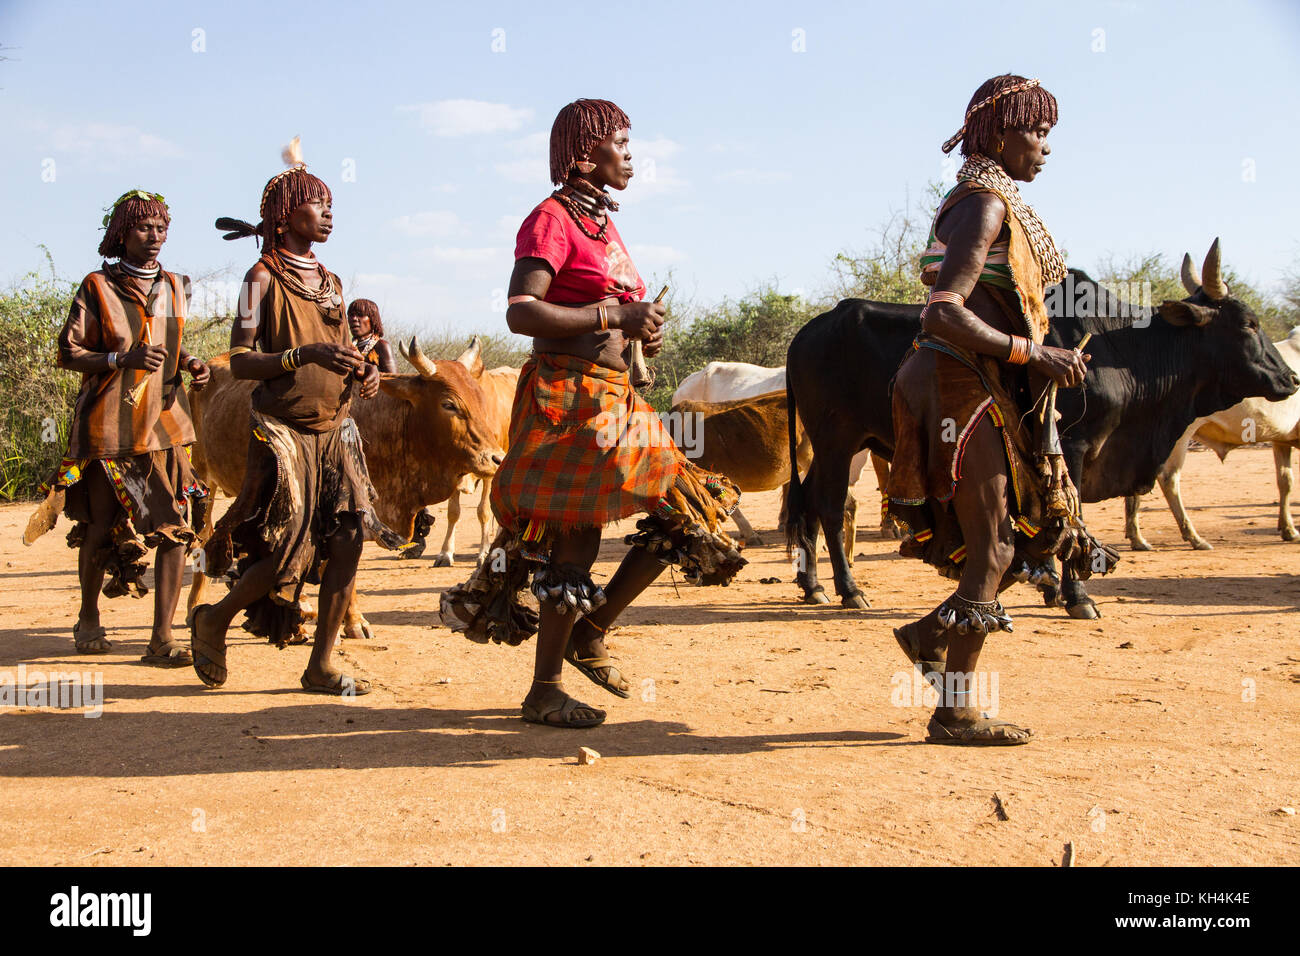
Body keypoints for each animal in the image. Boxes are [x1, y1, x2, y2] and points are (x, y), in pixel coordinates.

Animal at [188, 335, 501, 634]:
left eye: (481, 400)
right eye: (449, 404)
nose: (496, 458)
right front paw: (352, 622)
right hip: (204, 478)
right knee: (204, 535)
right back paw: (196, 606)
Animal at [1123, 329, 1294, 554]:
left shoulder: (1282, 441)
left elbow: (1285, 481)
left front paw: (1287, 529)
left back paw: (1137, 539)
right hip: (1179, 438)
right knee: (1168, 479)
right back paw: (1193, 537)